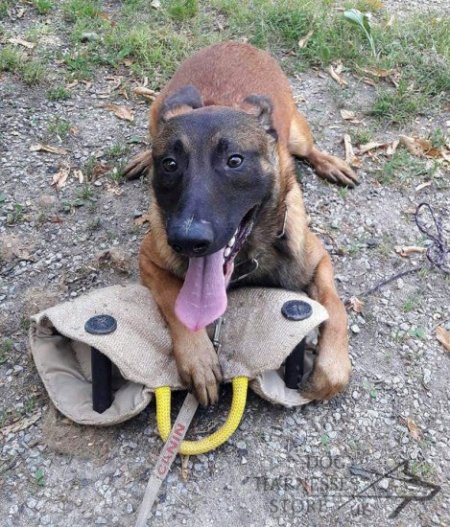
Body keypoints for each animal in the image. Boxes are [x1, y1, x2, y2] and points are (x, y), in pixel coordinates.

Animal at [126, 41, 358, 406]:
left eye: (234, 161)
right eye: (170, 164)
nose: (187, 240)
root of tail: (236, 43)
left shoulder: (318, 260)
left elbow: (335, 309)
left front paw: (330, 366)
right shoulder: (150, 259)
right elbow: (174, 302)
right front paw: (198, 359)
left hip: (297, 134)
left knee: (309, 148)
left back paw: (330, 162)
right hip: (156, 112)